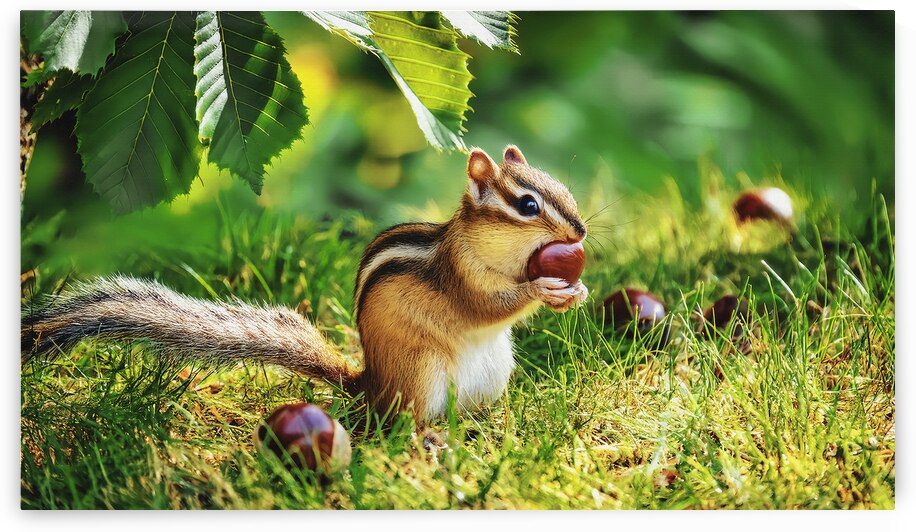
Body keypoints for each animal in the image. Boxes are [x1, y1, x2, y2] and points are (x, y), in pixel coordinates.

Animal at [21, 145, 589, 421]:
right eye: (528, 205)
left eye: (563, 188)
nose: (581, 232)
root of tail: (370, 386)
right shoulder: (462, 277)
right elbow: (488, 306)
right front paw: (543, 290)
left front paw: (576, 292)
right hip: (423, 374)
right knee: (404, 424)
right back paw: (428, 441)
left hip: (494, 373)